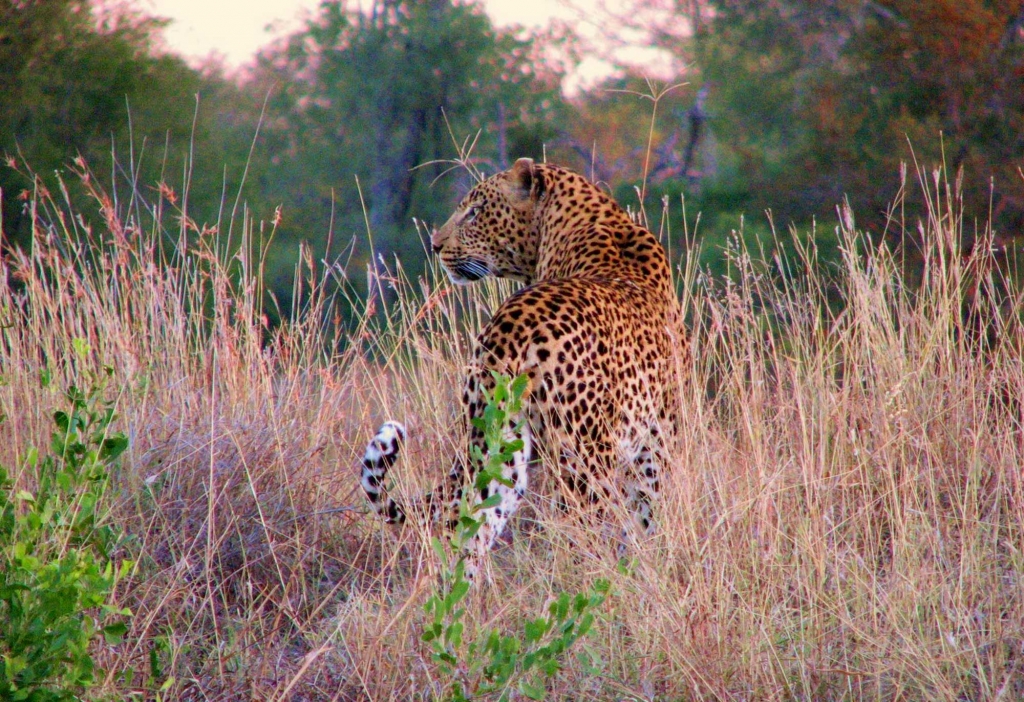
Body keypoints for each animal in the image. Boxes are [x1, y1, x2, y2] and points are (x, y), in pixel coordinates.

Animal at [360, 159, 688, 581]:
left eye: (475, 211)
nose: (435, 245)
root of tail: (514, 324)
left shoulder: (657, 438)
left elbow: (646, 522)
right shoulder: (654, 441)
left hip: (501, 447)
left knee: (466, 530)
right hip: (583, 459)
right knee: (578, 536)